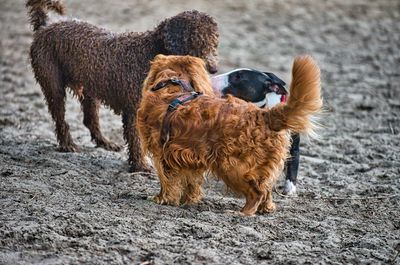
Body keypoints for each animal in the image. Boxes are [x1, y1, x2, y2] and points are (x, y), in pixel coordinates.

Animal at [25, 0, 219, 171]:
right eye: (197, 41)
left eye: (214, 43)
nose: (213, 69)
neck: (153, 52)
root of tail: (45, 26)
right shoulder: (134, 109)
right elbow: (136, 141)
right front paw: (140, 166)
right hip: (53, 86)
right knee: (61, 119)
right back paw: (67, 144)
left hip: (89, 89)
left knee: (90, 119)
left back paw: (106, 143)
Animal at [138, 53, 322, 214]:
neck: (174, 87)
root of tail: (265, 115)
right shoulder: (188, 157)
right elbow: (191, 182)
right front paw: (188, 200)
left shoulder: (162, 154)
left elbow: (167, 181)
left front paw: (162, 198)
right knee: (266, 190)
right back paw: (265, 208)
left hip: (234, 167)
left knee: (257, 193)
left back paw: (241, 213)